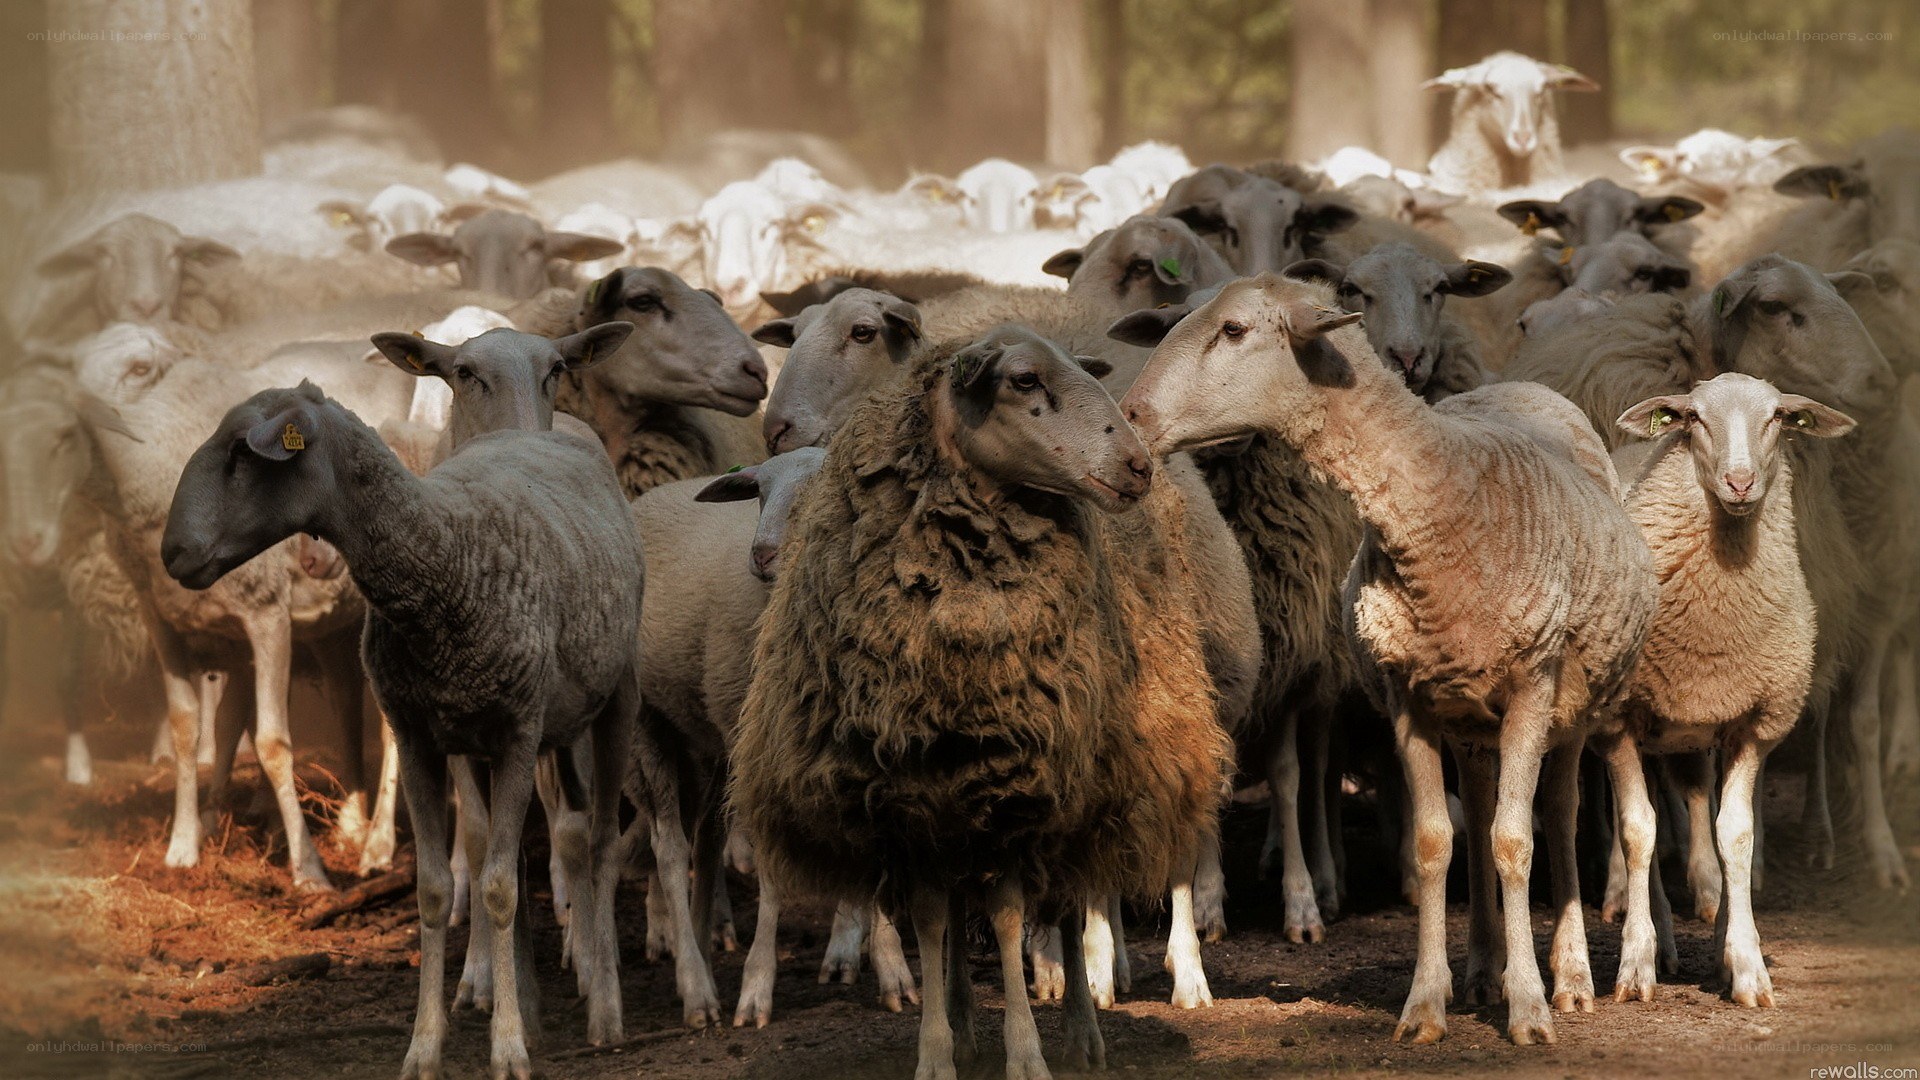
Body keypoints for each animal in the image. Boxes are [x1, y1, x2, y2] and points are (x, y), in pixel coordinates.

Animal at [161, 381, 642, 1078]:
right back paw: (534, 1006)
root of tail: (549, 431)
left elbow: (499, 888)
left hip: (616, 696)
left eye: (241, 452)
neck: (446, 560)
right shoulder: (419, 738)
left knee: (601, 841)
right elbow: (438, 889)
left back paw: (604, 1009)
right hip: (524, 730)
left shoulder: (517, 732)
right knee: (549, 844)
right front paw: (426, 1046)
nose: (171, 551)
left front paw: (506, 1049)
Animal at [732, 325, 1235, 1079]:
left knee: (1064, 908)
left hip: (1081, 798)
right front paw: (937, 1052)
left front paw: (1026, 1052)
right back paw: (968, 1026)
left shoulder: (1019, 792)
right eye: (1024, 380)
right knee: (956, 918)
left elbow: (1005, 919)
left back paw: (1083, 1032)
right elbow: (933, 922)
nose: (1136, 465)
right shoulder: (913, 802)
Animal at [1120, 273, 1658, 1045]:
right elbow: (1435, 843)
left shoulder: (1531, 686)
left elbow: (1515, 842)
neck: (1442, 502)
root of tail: (1524, 385)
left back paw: (1572, 974)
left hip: (1579, 703)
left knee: (1556, 814)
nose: (1130, 416)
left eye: (1233, 330)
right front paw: (1426, 1003)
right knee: (1482, 809)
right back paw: (1483, 967)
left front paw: (1530, 1006)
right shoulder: (1410, 698)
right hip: (1471, 715)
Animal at [1599, 373, 1854, 1008]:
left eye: (1778, 417)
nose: (1740, 482)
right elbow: (1639, 831)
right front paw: (1635, 965)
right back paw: (1660, 939)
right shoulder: (1618, 723)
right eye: (1694, 419)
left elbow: (1733, 836)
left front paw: (1744, 964)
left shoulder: (1754, 722)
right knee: (1636, 826)